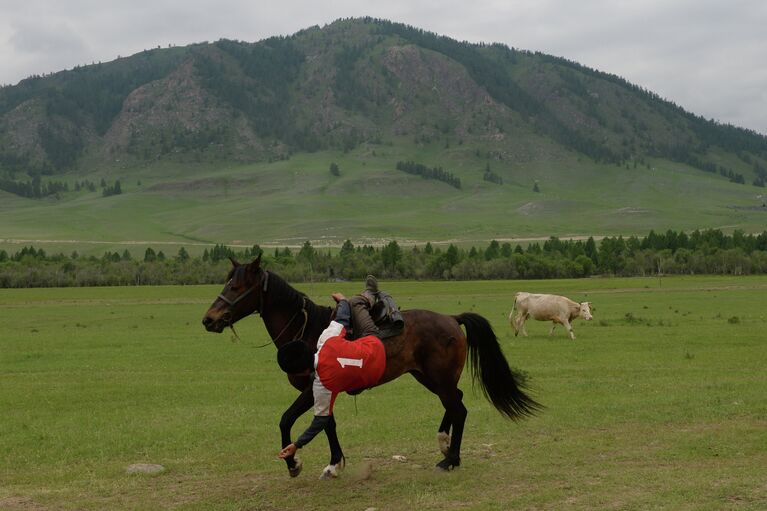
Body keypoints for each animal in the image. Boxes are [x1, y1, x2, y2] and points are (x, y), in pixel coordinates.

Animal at [204, 256, 540, 480]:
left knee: (459, 408)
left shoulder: (311, 390)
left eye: (236, 286)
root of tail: (451, 319)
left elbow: (287, 420)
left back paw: (451, 459)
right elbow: (327, 424)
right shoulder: (322, 391)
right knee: (455, 402)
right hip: (429, 378)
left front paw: (294, 464)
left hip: (439, 379)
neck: (308, 332)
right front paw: (334, 463)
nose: (209, 319)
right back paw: (444, 444)